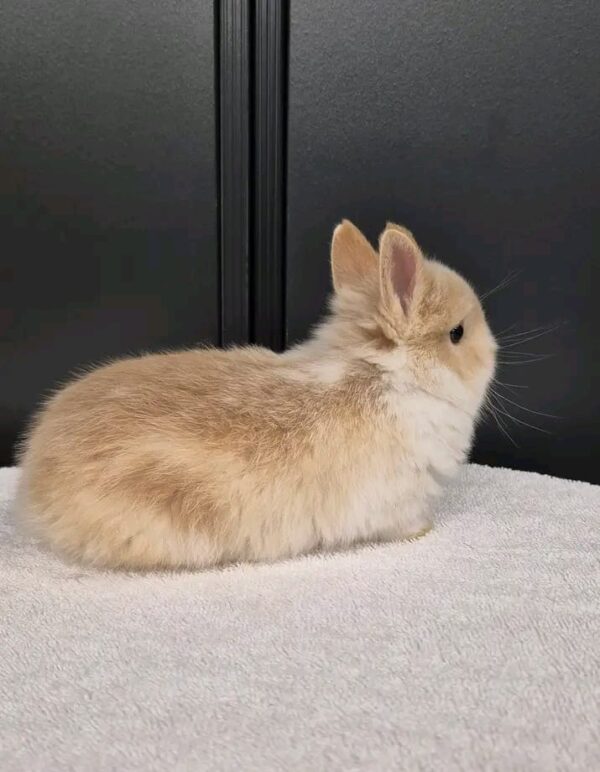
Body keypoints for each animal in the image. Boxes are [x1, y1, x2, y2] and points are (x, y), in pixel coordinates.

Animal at [16, 221, 497, 570]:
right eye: (457, 333)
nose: (494, 351)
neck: (384, 377)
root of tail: (34, 478)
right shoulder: (398, 502)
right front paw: (424, 531)